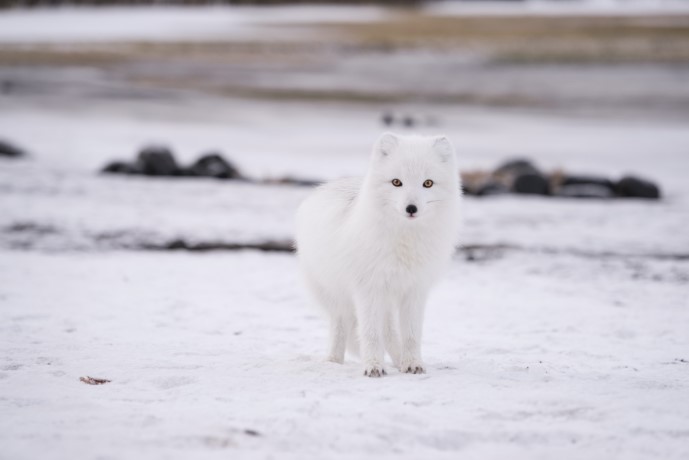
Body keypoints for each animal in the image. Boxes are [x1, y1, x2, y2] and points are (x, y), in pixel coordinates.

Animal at [292, 133, 460, 378]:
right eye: (396, 182)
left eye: (427, 183)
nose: (411, 208)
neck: (404, 242)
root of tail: (325, 187)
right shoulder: (367, 289)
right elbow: (370, 334)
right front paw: (373, 366)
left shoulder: (415, 290)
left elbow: (411, 334)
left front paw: (412, 364)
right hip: (337, 297)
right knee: (340, 326)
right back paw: (333, 361)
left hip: (386, 300)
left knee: (389, 332)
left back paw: (399, 361)